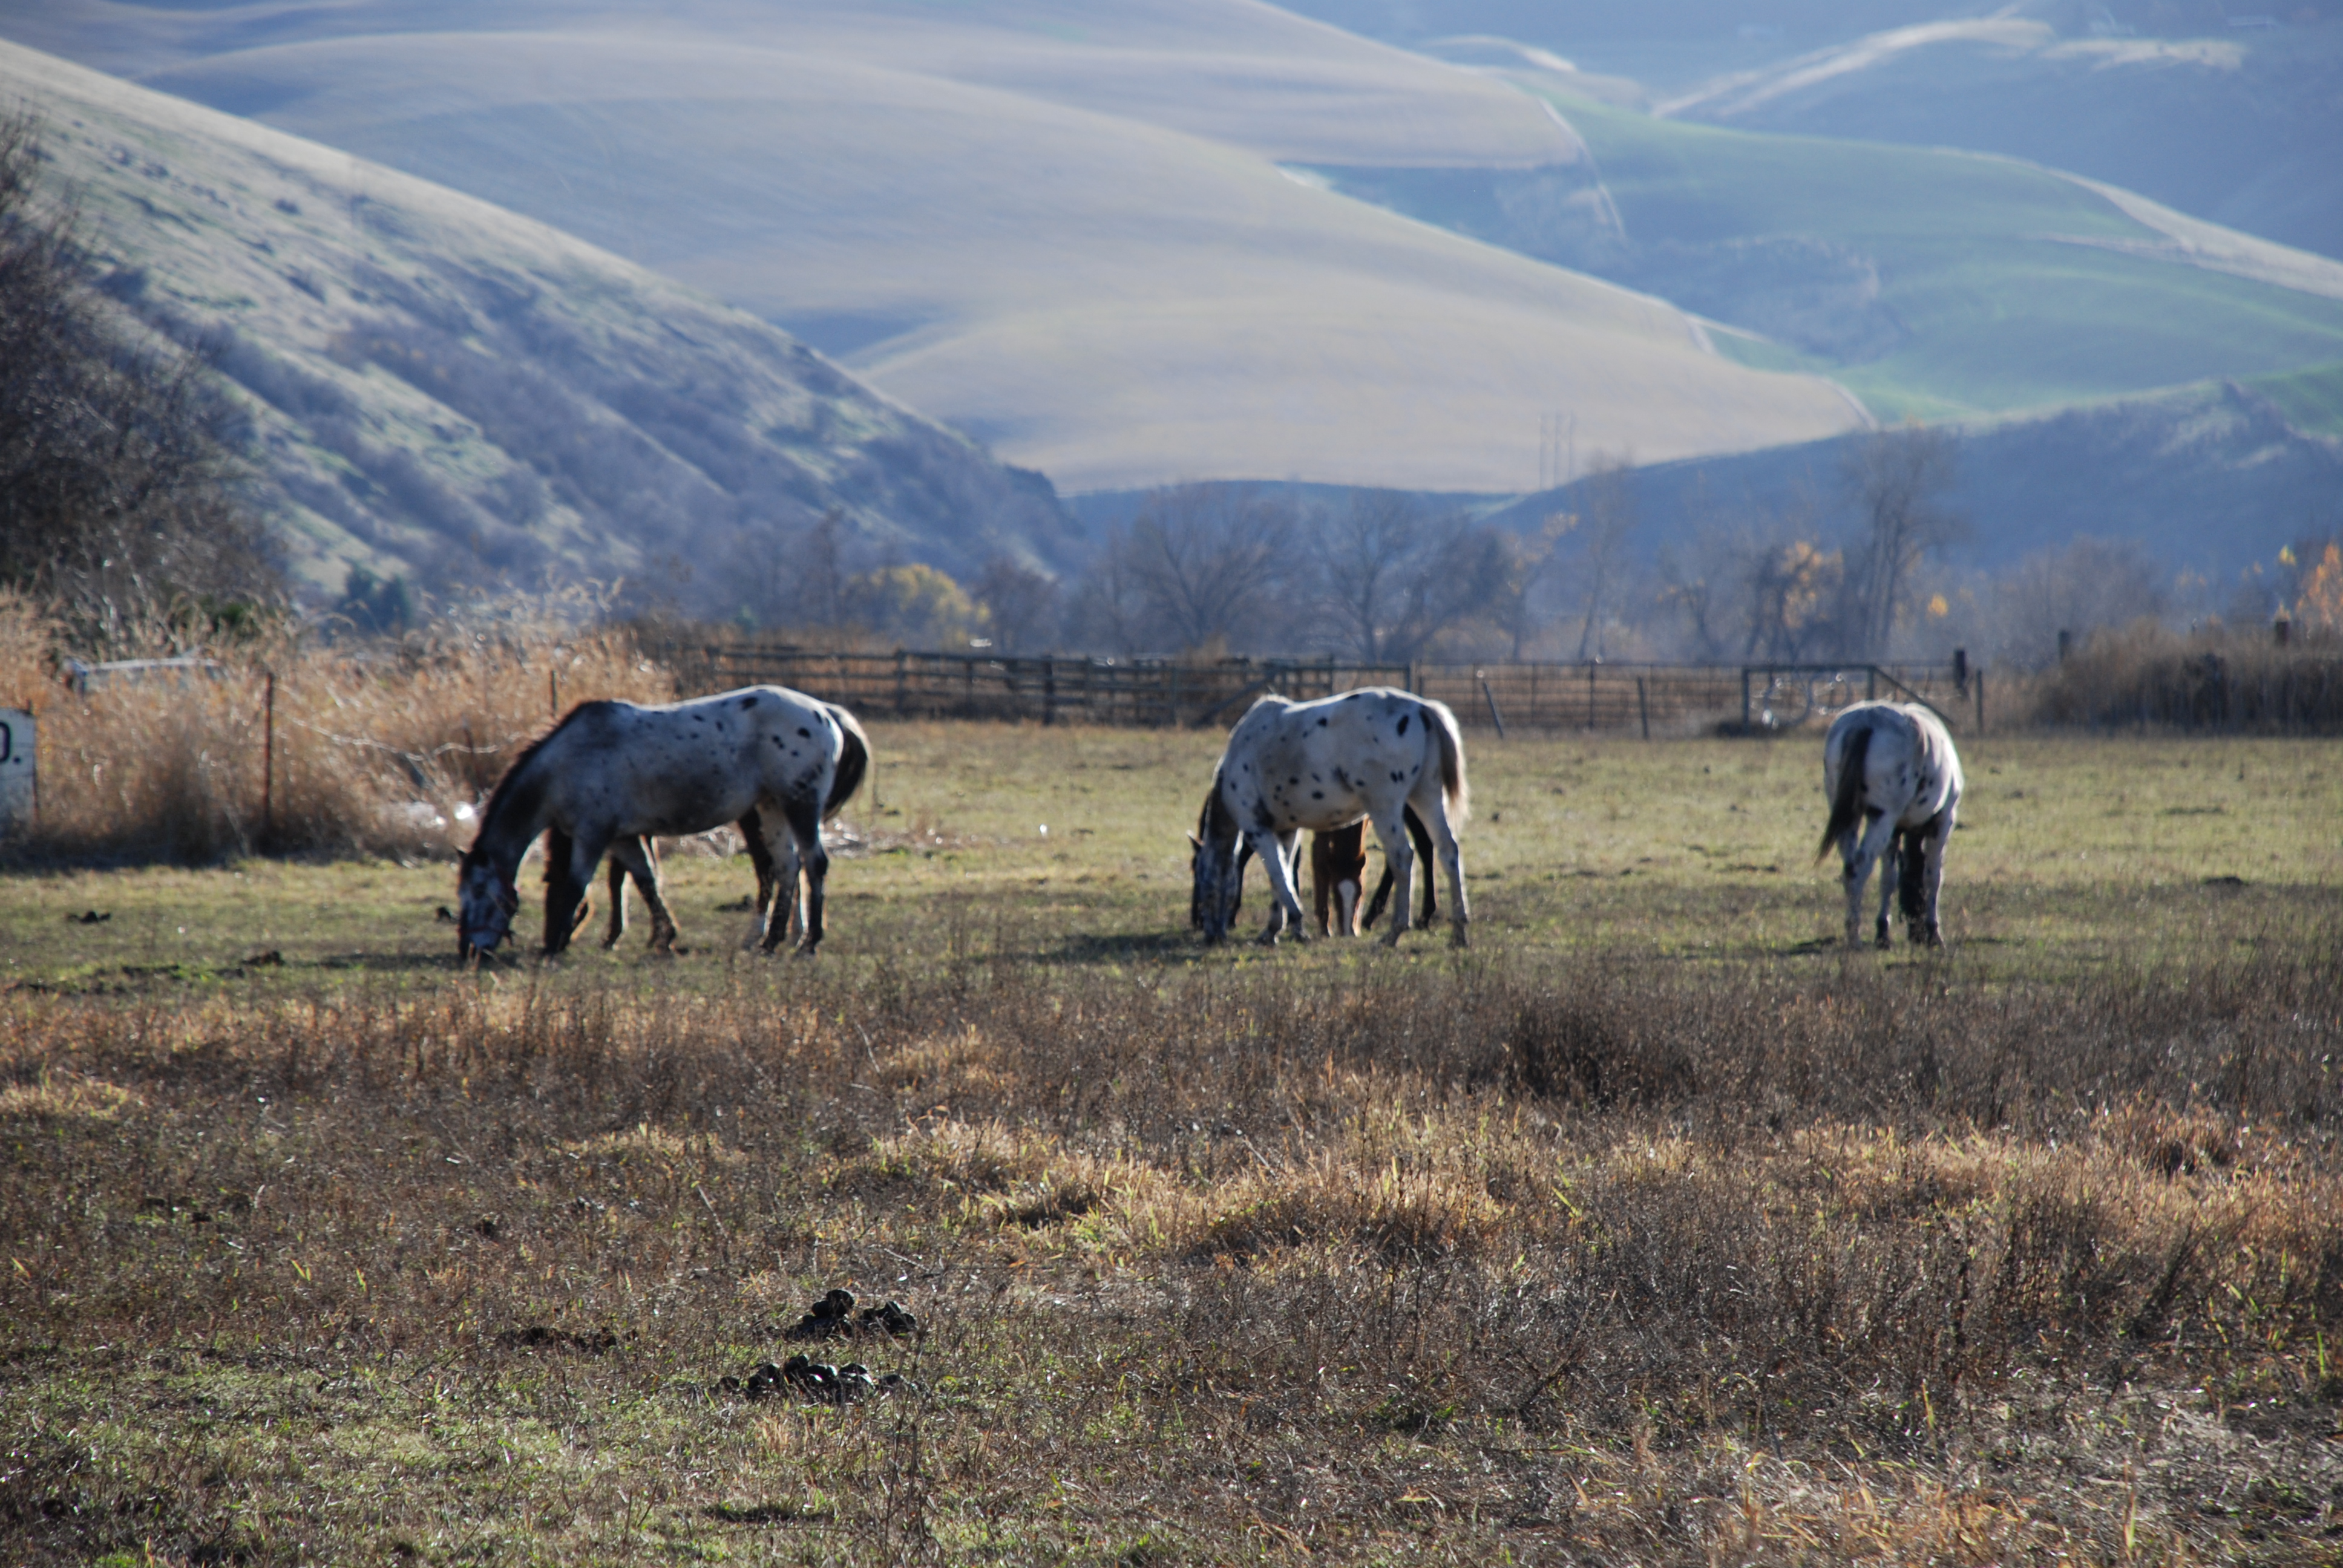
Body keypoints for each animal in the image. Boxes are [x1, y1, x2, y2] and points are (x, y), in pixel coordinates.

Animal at [457, 686, 869, 959]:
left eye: (479, 892)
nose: (468, 951)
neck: (568, 763)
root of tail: (824, 711)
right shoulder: (622, 838)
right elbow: (645, 881)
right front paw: (664, 935)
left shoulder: (593, 836)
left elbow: (577, 885)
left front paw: (555, 947)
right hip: (772, 808)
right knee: (786, 868)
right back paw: (771, 941)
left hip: (799, 805)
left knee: (813, 865)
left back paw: (810, 941)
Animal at [1191, 687, 1470, 947]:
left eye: (1201, 881)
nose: (1208, 933)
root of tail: (1422, 709)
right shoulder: (1285, 832)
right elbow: (1283, 873)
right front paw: (1274, 930)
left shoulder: (1255, 828)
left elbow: (1277, 875)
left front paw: (1295, 924)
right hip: (1426, 797)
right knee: (1448, 851)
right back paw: (1459, 932)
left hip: (1385, 807)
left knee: (1402, 857)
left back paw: (1394, 932)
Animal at [1815, 700, 1962, 949]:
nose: (1916, 935)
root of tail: (1865, 721)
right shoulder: (1943, 822)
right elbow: (1933, 877)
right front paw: (1934, 933)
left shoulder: (1895, 832)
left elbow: (1889, 879)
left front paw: (1883, 932)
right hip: (1882, 819)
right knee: (1860, 868)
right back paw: (1854, 937)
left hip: (1851, 819)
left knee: (1850, 869)